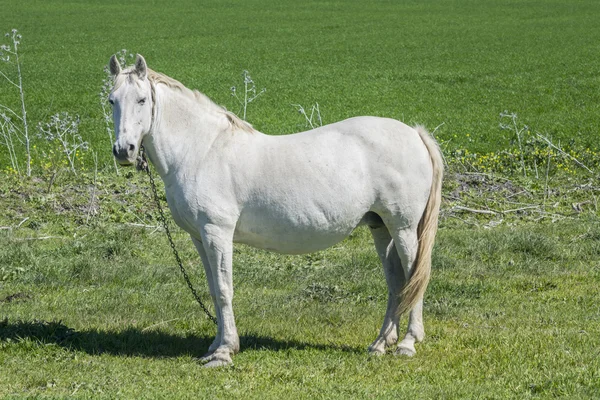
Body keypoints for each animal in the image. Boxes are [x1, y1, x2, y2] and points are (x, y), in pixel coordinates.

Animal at [110, 54, 442, 368]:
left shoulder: (217, 232)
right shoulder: (199, 237)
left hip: (403, 228)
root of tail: (414, 134)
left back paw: (407, 343)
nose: (123, 151)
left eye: (142, 100)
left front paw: (224, 352)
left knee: (414, 277)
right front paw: (214, 346)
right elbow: (214, 290)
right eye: (112, 100)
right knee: (397, 283)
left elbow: (224, 289)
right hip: (380, 227)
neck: (202, 151)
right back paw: (380, 344)